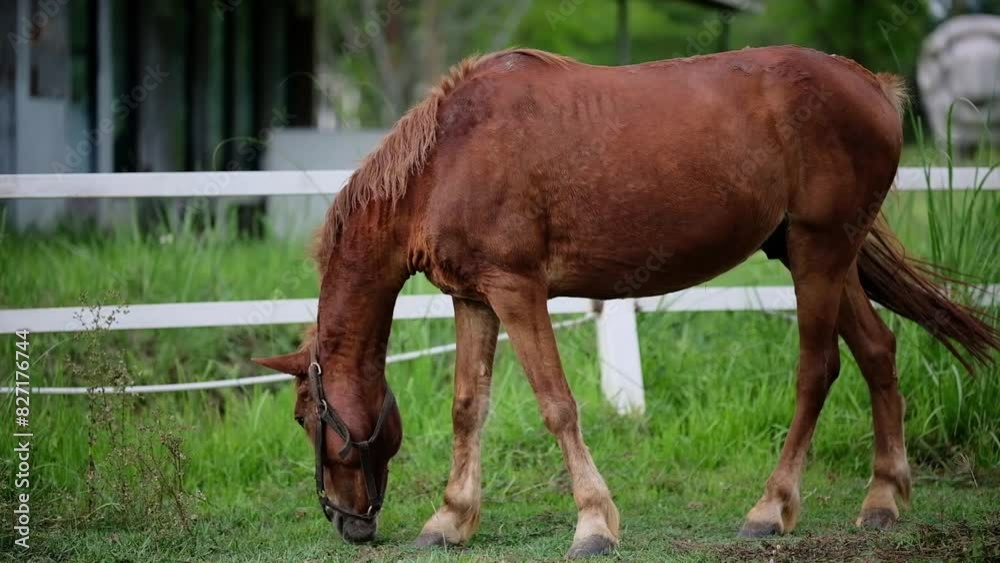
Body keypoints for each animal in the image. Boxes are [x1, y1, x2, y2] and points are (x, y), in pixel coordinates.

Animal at [252, 46, 998, 558]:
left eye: (305, 416)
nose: (346, 521)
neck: (447, 158)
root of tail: (873, 85)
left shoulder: (517, 289)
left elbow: (557, 404)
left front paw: (592, 523)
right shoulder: (475, 299)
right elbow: (469, 408)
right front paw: (451, 518)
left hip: (819, 253)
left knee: (818, 370)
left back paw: (771, 507)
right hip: (817, 253)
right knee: (877, 350)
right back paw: (882, 499)